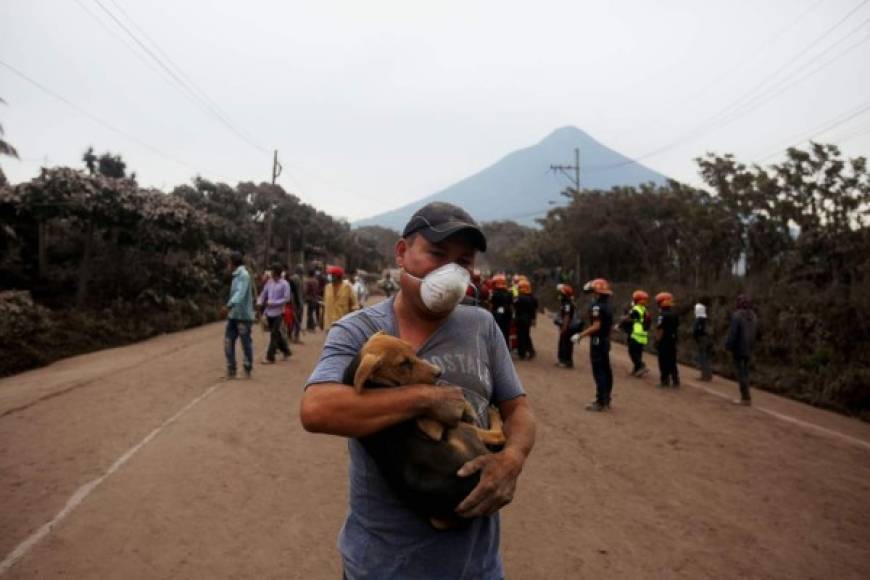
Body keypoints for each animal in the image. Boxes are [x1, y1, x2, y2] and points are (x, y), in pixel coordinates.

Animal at [344, 328, 508, 528]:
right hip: (461, 430)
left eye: (413, 351)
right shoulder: (434, 428)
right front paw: (463, 405)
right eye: (404, 364)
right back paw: (491, 414)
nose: (439, 372)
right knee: (498, 435)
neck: (373, 382)